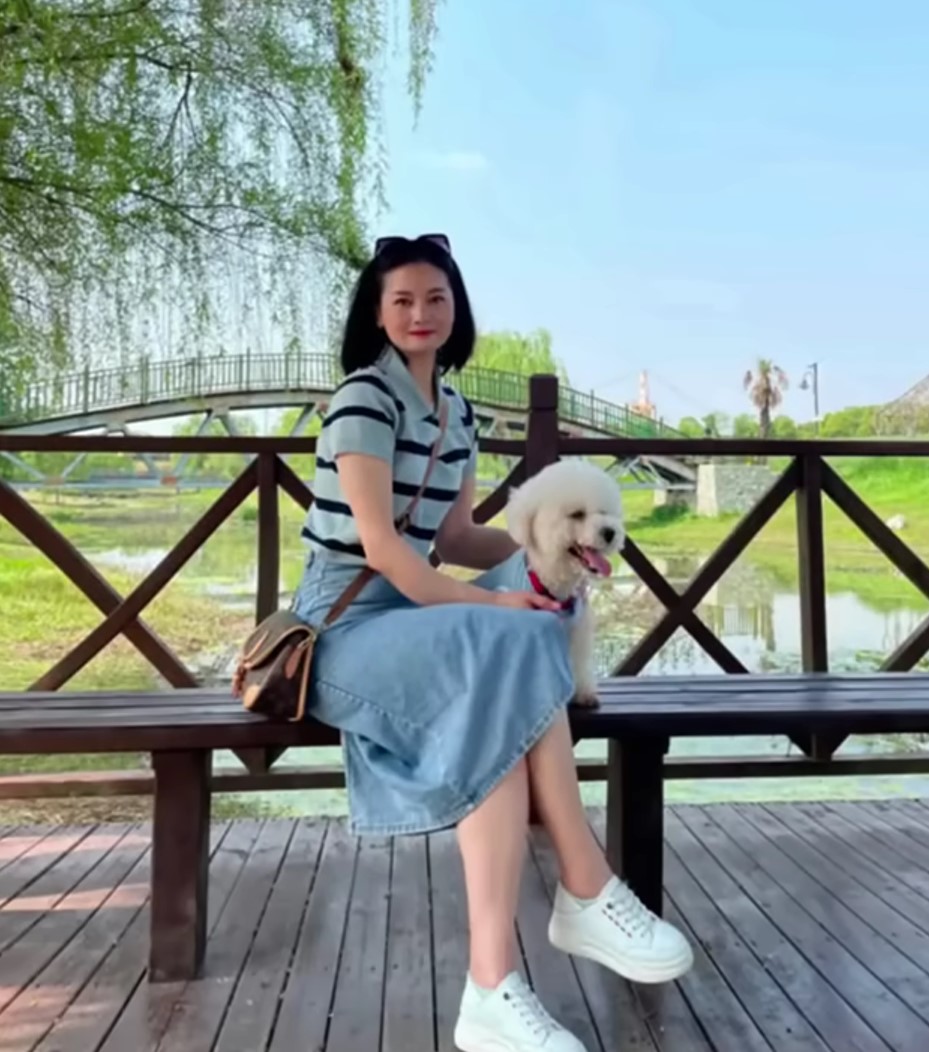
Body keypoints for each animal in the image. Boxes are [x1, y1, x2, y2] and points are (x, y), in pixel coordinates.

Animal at [505, 460, 627, 706]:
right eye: (577, 514)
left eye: (604, 512)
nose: (610, 532)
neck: (556, 584)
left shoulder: (578, 630)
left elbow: (578, 663)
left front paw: (583, 692)